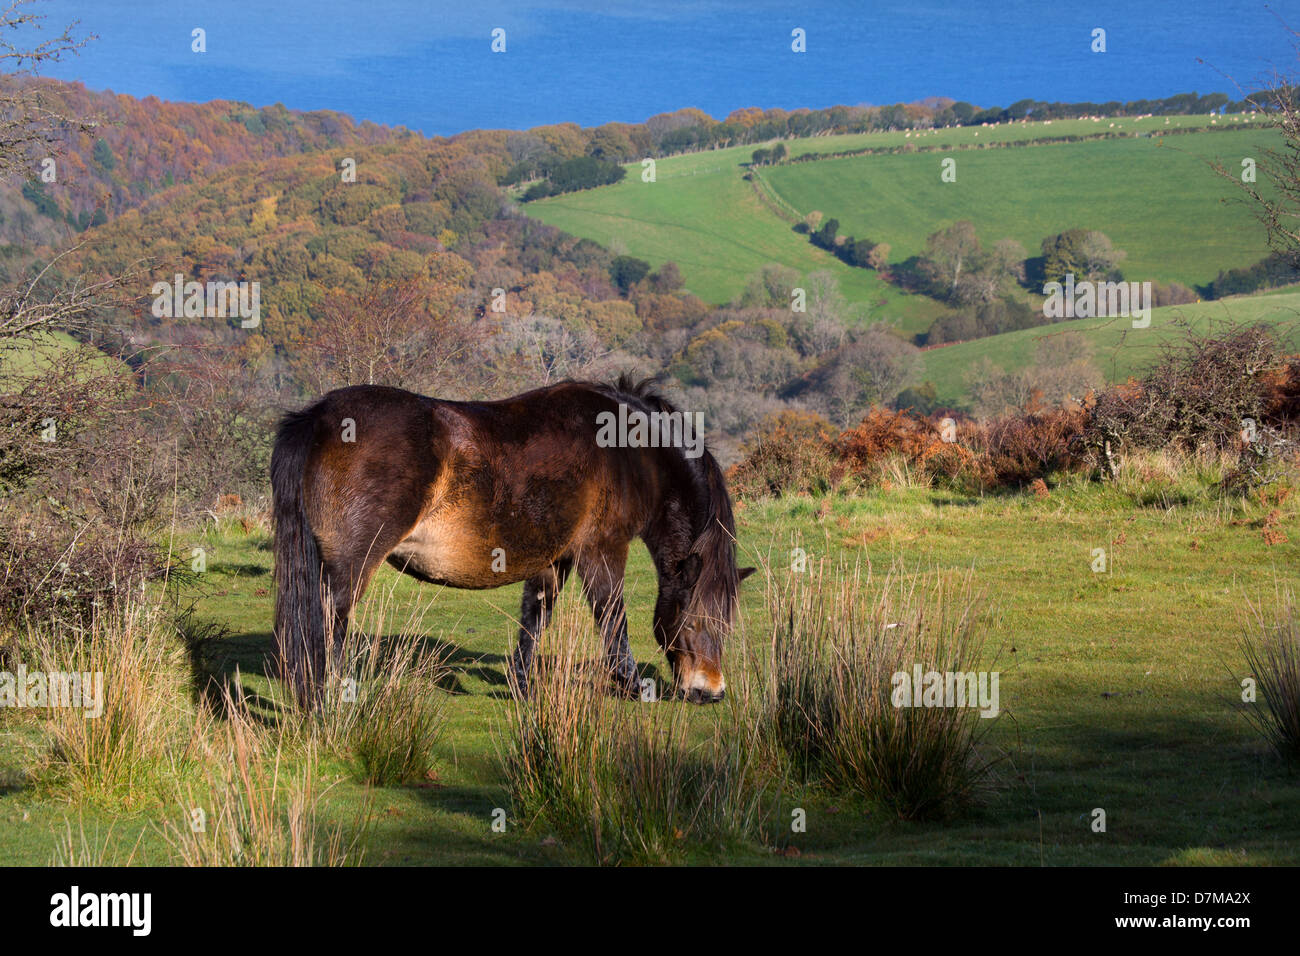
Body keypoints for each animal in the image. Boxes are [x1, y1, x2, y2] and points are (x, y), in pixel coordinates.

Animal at [270, 375, 754, 708]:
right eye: (698, 620)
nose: (711, 692)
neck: (629, 452)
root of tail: (320, 416)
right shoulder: (602, 550)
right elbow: (612, 617)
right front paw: (633, 686)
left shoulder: (554, 558)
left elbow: (535, 618)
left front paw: (522, 687)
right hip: (351, 565)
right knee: (328, 625)